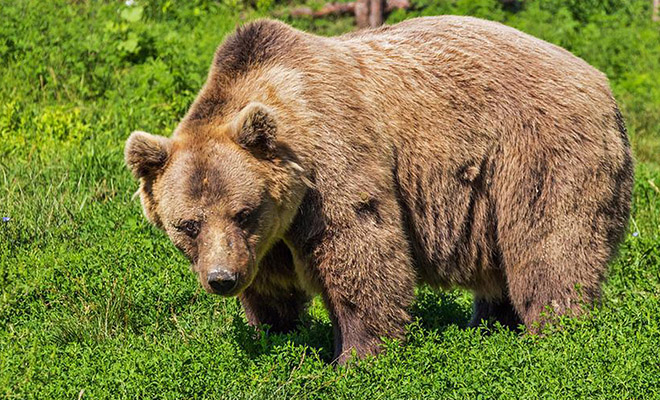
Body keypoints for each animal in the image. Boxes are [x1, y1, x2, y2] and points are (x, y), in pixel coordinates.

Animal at [124, 17, 636, 364]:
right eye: (187, 225)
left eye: (243, 212)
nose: (222, 279)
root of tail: (602, 83)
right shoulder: (269, 235)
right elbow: (272, 287)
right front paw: (277, 333)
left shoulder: (333, 163)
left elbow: (361, 251)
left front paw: (357, 356)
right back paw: (490, 324)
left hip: (538, 152)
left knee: (550, 246)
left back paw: (556, 332)